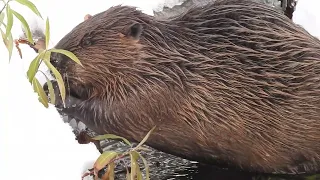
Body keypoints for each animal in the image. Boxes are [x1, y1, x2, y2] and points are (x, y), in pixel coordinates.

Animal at [45, 0, 320, 175]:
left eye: (89, 41)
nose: (53, 59)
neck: (167, 60)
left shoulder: (157, 91)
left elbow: (112, 115)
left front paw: (58, 94)